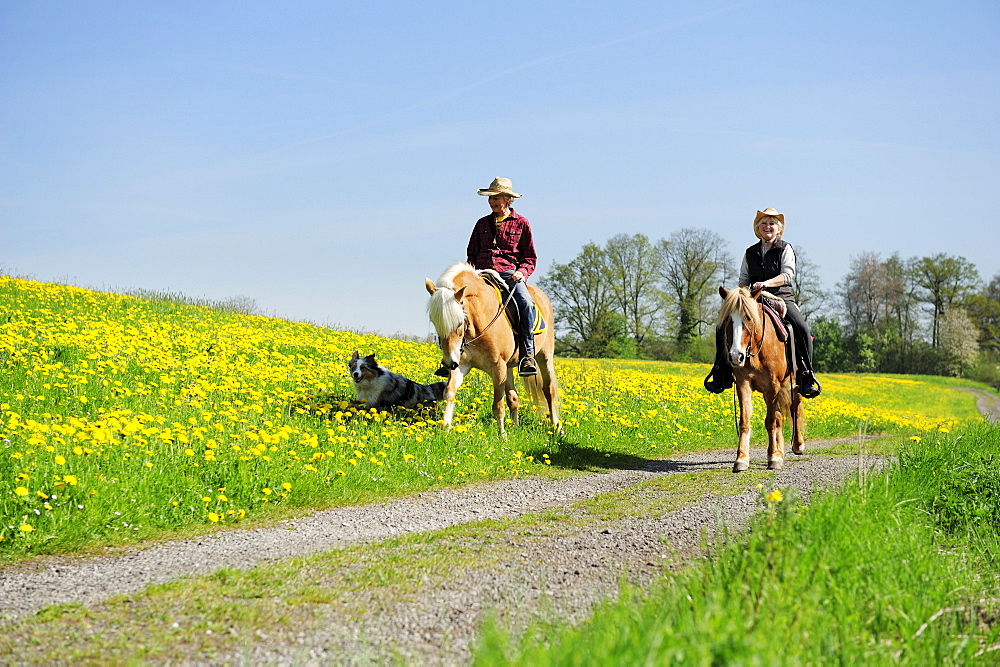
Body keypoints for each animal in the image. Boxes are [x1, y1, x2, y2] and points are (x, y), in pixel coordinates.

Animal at [424, 260, 560, 438]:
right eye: (434, 321)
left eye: (459, 322)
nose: (448, 363)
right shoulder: (462, 365)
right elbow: (450, 392)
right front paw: (445, 427)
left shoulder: (498, 367)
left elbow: (498, 405)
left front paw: (502, 436)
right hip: (508, 367)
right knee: (513, 398)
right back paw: (516, 427)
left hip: (544, 357)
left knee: (548, 390)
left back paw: (556, 427)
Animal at [720, 286, 804, 470]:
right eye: (728, 319)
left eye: (749, 318)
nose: (736, 356)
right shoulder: (744, 384)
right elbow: (745, 420)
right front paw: (742, 458)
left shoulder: (773, 385)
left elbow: (771, 421)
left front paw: (773, 457)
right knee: (780, 416)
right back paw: (780, 452)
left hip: (794, 385)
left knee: (794, 408)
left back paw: (798, 445)